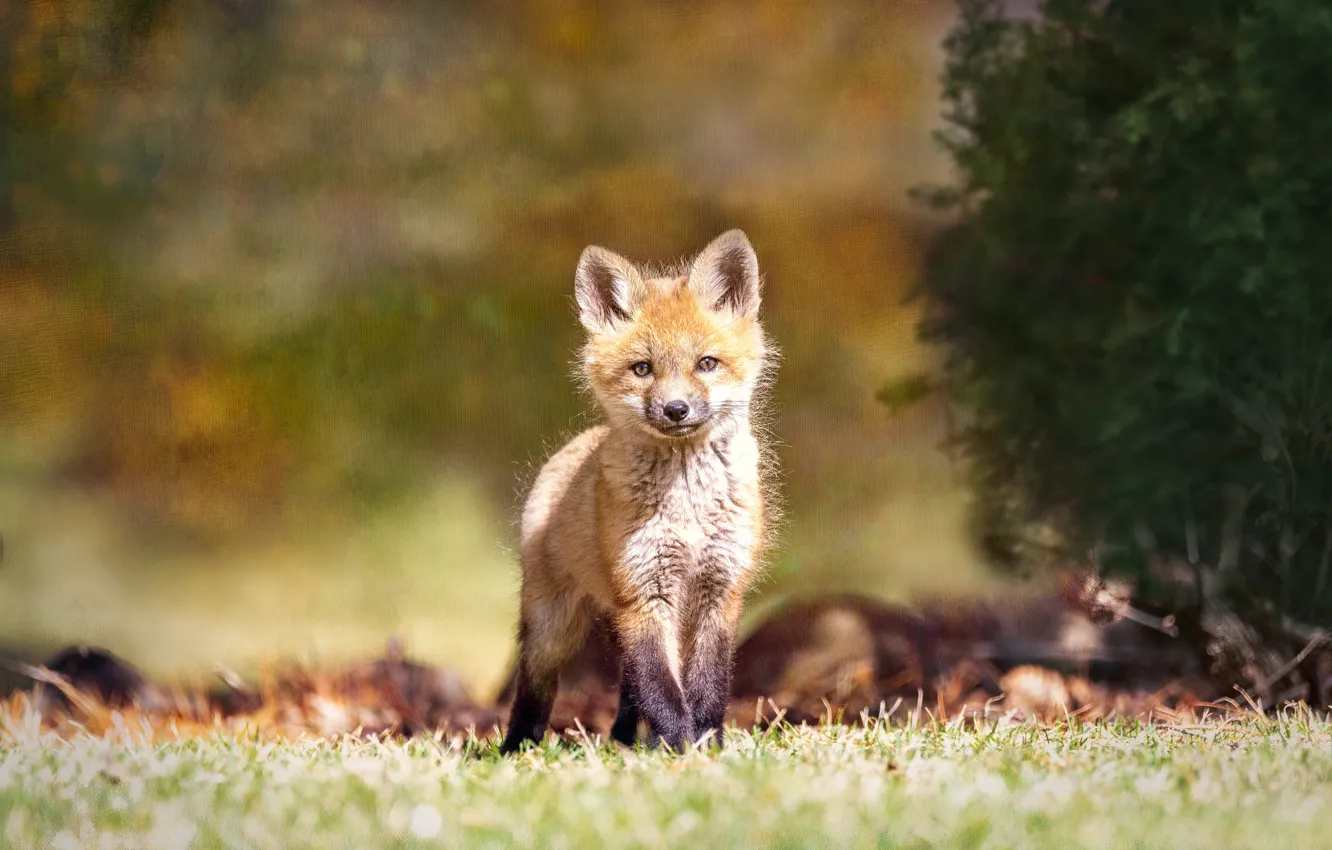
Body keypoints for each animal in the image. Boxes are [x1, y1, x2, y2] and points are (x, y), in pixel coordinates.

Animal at [499, 229, 778, 754]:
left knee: (630, 686)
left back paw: (625, 742)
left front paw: (707, 746)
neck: (688, 508)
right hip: (554, 627)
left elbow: (705, 687)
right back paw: (515, 748)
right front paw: (680, 750)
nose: (676, 409)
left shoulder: (719, 592)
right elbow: (663, 691)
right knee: (536, 685)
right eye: (642, 369)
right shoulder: (645, 591)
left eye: (706, 363)